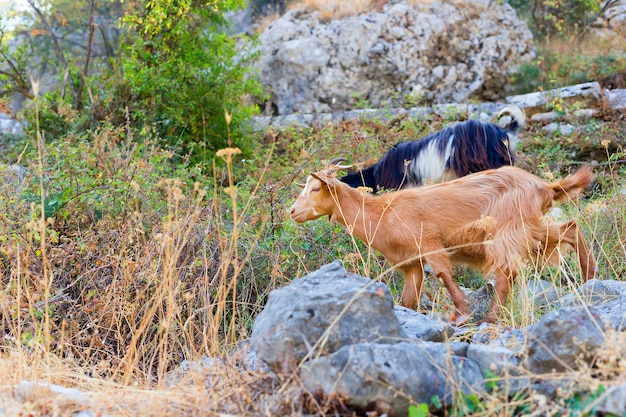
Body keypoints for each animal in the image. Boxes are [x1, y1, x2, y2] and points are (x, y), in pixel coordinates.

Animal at [288, 164, 596, 324]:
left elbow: (443, 274)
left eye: (315, 188)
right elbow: (409, 298)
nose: (292, 212)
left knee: (506, 272)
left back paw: (490, 318)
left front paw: (461, 313)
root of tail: (544, 188)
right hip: (529, 229)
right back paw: (589, 276)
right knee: (569, 229)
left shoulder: (429, 242)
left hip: (507, 230)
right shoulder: (411, 263)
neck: (381, 212)